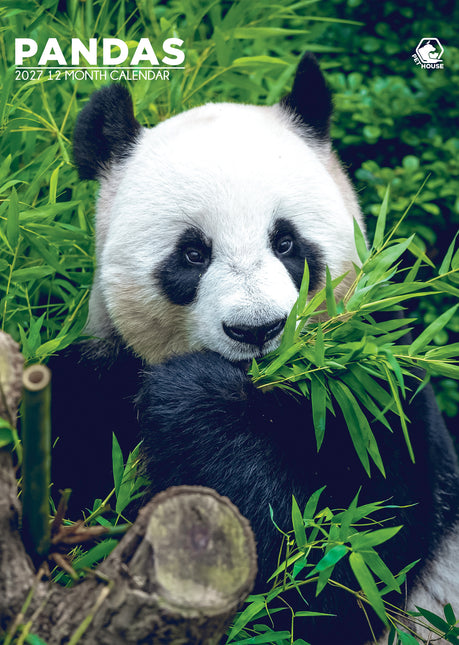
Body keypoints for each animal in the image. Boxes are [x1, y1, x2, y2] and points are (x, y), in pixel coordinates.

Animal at [50, 53, 459, 644]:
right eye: (193, 253)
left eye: (285, 242)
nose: (257, 329)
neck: (265, 393)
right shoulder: (93, 390)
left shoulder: (377, 398)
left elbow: (337, 568)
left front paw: (191, 398)